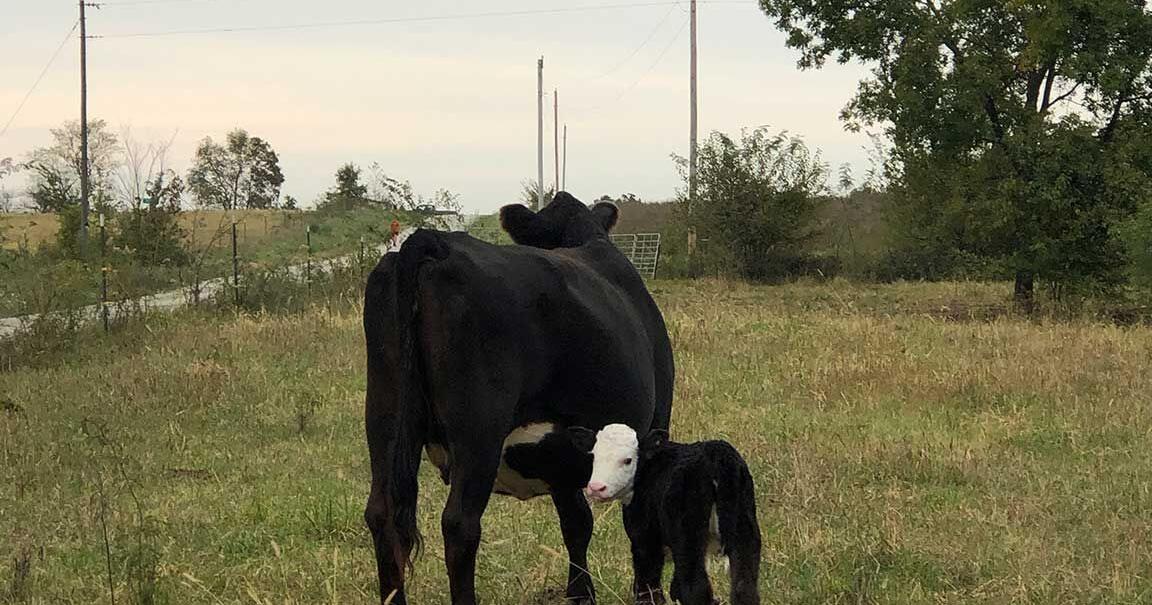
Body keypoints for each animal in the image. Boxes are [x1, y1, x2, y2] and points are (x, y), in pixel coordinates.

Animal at [362, 192, 675, 605]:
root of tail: (436, 244)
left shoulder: (563, 454)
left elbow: (576, 523)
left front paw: (581, 594)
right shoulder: (653, 427)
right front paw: (647, 594)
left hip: (385, 418)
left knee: (382, 515)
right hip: (477, 431)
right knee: (460, 524)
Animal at [570, 424, 762, 605]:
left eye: (628, 460)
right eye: (594, 456)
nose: (596, 488)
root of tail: (715, 457)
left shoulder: (645, 538)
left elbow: (648, 585)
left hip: (688, 535)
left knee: (695, 588)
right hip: (744, 531)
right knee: (744, 588)